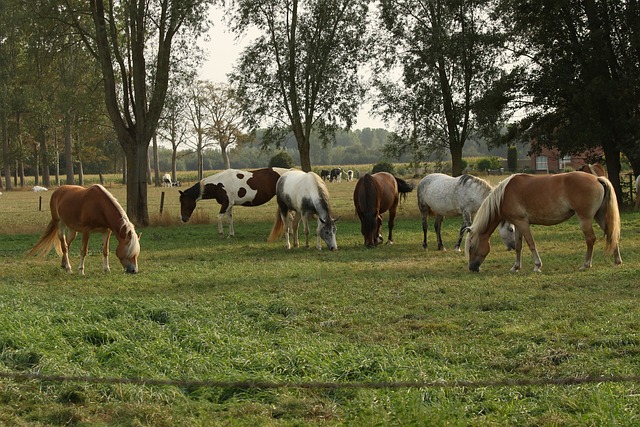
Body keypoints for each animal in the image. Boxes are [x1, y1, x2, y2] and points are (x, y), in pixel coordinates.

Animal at [464, 172, 620, 272]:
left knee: (591, 239)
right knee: (611, 234)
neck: (503, 195)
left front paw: (537, 265)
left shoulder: (523, 223)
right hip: (599, 216)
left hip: (585, 219)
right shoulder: (518, 224)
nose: (472, 268)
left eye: (471, 247)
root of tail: (597, 178)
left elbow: (531, 243)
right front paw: (515, 267)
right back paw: (617, 261)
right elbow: (519, 246)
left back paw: (586, 264)